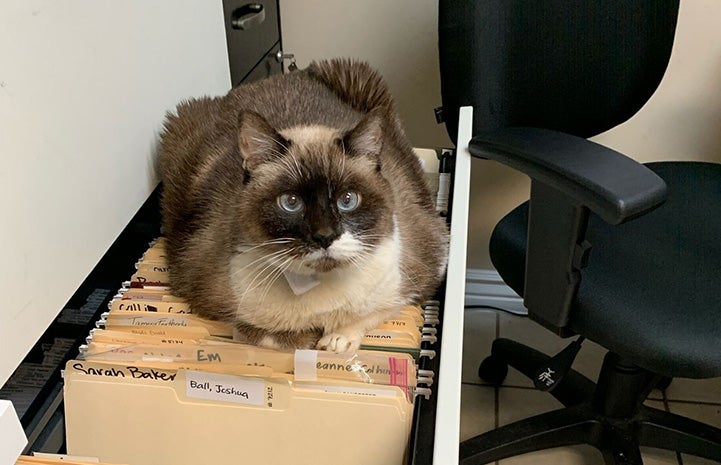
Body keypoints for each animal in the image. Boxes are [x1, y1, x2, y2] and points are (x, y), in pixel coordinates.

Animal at [160, 59, 448, 352]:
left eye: (347, 200)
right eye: (291, 202)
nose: (324, 237)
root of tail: (285, 75)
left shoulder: (424, 275)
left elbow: (368, 317)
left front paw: (335, 341)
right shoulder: (210, 301)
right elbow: (265, 335)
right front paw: (308, 338)